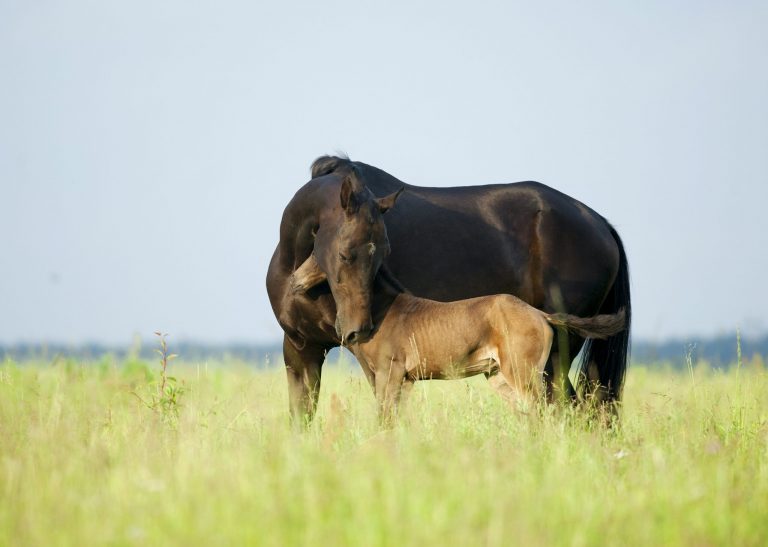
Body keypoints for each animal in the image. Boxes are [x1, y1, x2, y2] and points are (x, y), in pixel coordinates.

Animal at [343, 272, 626, 422]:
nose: (348, 334)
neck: (384, 308)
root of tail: (540, 314)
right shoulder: (406, 380)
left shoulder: (389, 374)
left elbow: (384, 417)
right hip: (499, 376)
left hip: (523, 375)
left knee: (542, 412)